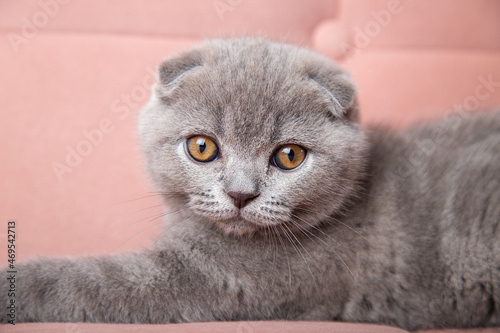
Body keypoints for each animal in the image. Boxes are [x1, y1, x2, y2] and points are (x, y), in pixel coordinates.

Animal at [2, 37, 500, 330]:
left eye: (289, 156)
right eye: (202, 147)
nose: (241, 194)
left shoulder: (216, 281)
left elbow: (84, 283)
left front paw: (16, 284)